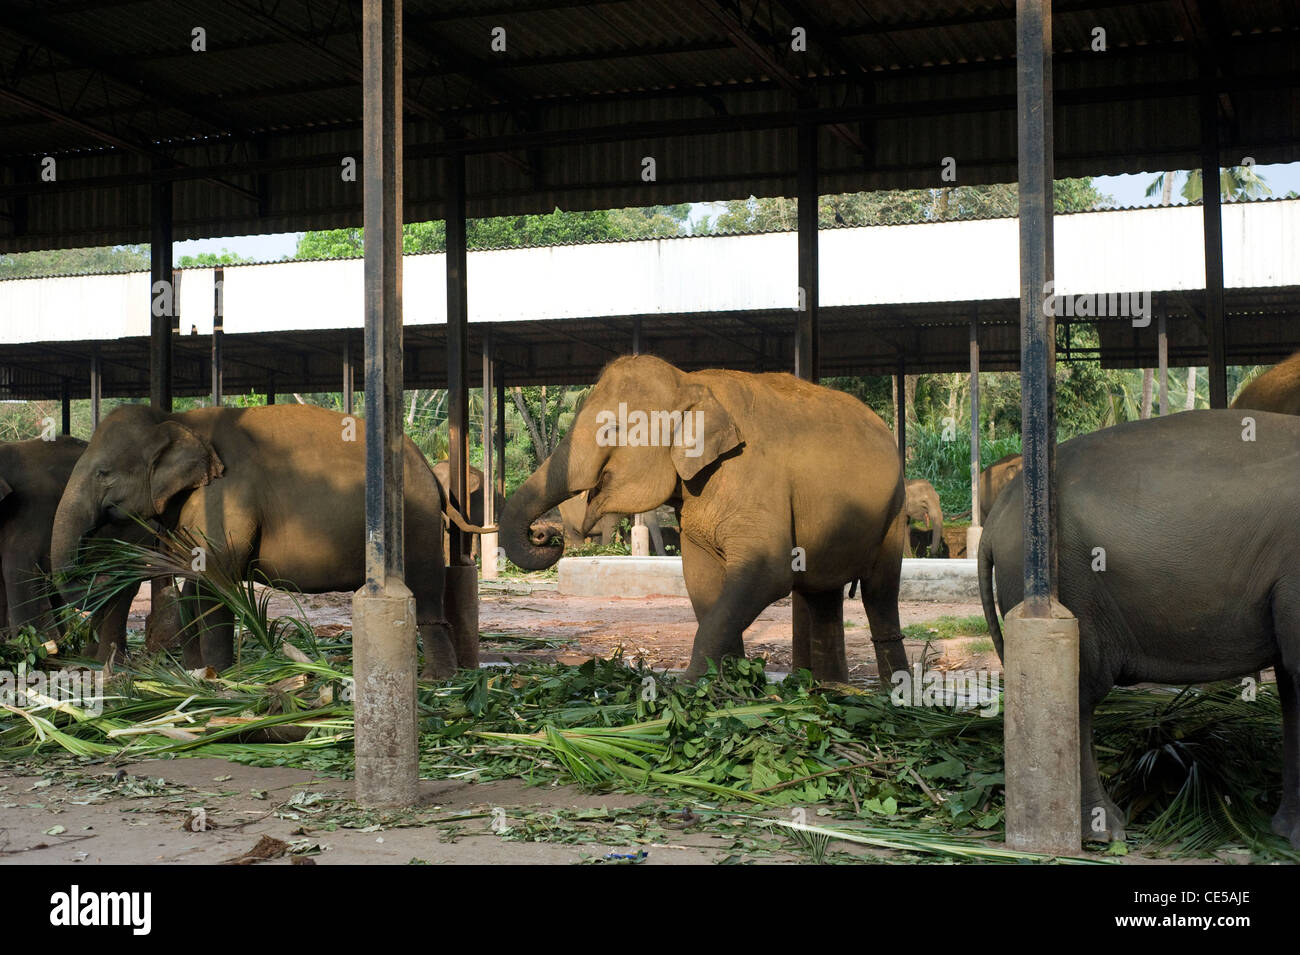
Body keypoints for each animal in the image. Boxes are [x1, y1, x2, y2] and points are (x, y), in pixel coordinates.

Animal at [52, 402, 467, 680]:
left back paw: (438, 679)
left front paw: (218, 676)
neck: (180, 419)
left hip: (416, 520)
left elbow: (215, 581)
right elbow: (194, 586)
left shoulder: (225, 496)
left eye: (103, 472)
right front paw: (194, 673)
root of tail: (429, 469)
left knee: (425, 588)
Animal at [501, 356, 909, 686]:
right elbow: (700, 578)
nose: (546, 535)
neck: (691, 383)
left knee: (880, 593)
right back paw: (830, 690)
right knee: (823, 596)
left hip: (894, 512)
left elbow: (769, 573)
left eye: (612, 429)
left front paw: (684, 688)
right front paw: (730, 684)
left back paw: (891, 695)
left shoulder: (756, 481)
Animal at [977, 407, 1300, 841]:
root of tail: (997, 517)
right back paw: (1103, 829)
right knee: (1082, 694)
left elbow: (1291, 682)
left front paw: (1285, 832)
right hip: (1073, 583)